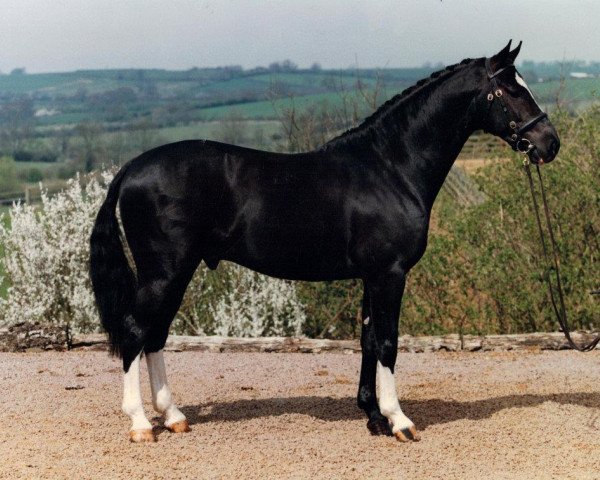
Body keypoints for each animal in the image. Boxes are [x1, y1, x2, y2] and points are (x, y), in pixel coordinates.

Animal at [90, 43, 564, 444]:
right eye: (511, 90)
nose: (549, 143)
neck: (391, 167)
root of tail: (130, 168)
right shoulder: (390, 274)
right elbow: (389, 342)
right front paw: (399, 421)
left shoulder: (372, 277)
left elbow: (369, 340)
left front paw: (373, 416)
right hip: (164, 273)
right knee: (135, 332)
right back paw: (140, 425)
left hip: (176, 273)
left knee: (155, 335)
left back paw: (173, 417)